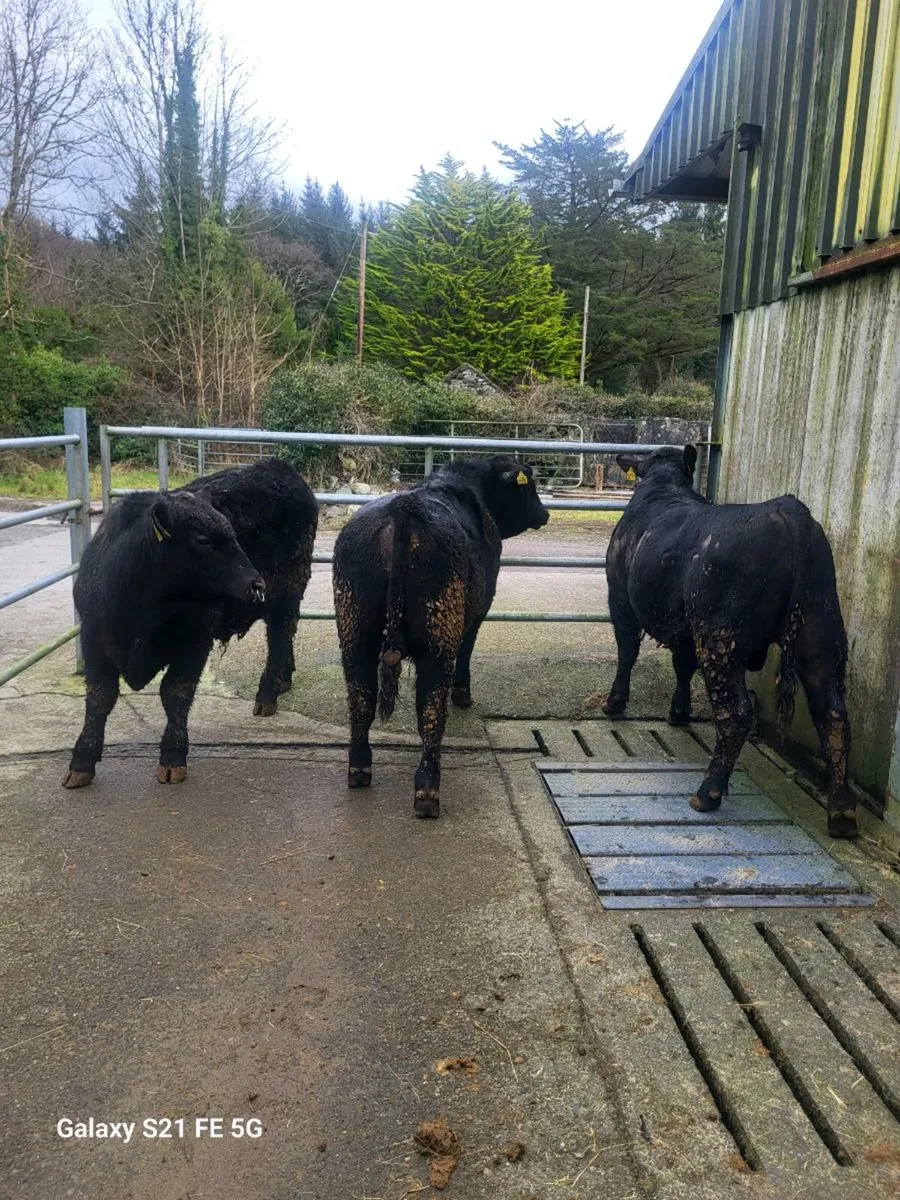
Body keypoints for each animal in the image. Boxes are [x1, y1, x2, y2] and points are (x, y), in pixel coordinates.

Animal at [63, 458, 318, 789]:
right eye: (203, 541)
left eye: (234, 534)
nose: (256, 584)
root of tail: (280, 467)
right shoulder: (93, 637)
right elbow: (99, 698)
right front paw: (82, 762)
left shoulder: (196, 639)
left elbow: (176, 692)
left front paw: (173, 757)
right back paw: (282, 681)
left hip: (288, 590)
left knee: (280, 635)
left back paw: (267, 693)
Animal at [333, 456, 550, 818]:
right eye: (528, 486)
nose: (544, 514)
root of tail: (402, 511)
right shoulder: (476, 614)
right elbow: (467, 651)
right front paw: (463, 693)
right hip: (439, 635)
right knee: (430, 711)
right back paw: (427, 790)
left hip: (354, 631)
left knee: (361, 699)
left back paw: (360, 769)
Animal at [601, 445, 856, 839]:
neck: (663, 485)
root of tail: (789, 509)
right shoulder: (684, 628)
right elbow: (682, 666)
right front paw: (678, 712)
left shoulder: (620, 598)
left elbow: (627, 651)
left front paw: (615, 703)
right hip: (821, 632)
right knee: (833, 715)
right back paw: (842, 812)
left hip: (720, 638)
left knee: (736, 713)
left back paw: (708, 793)